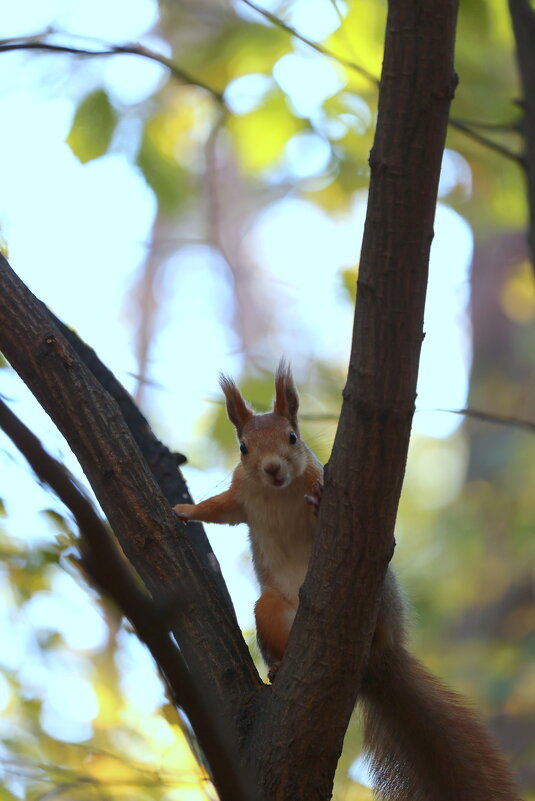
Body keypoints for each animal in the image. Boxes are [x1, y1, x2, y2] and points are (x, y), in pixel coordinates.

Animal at [175, 362, 520, 800]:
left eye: (292, 438)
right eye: (243, 448)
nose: (272, 469)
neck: (277, 492)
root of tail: (381, 663)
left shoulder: (314, 477)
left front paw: (321, 501)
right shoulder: (241, 496)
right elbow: (217, 510)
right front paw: (184, 511)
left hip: (381, 598)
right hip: (270, 608)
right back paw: (279, 668)